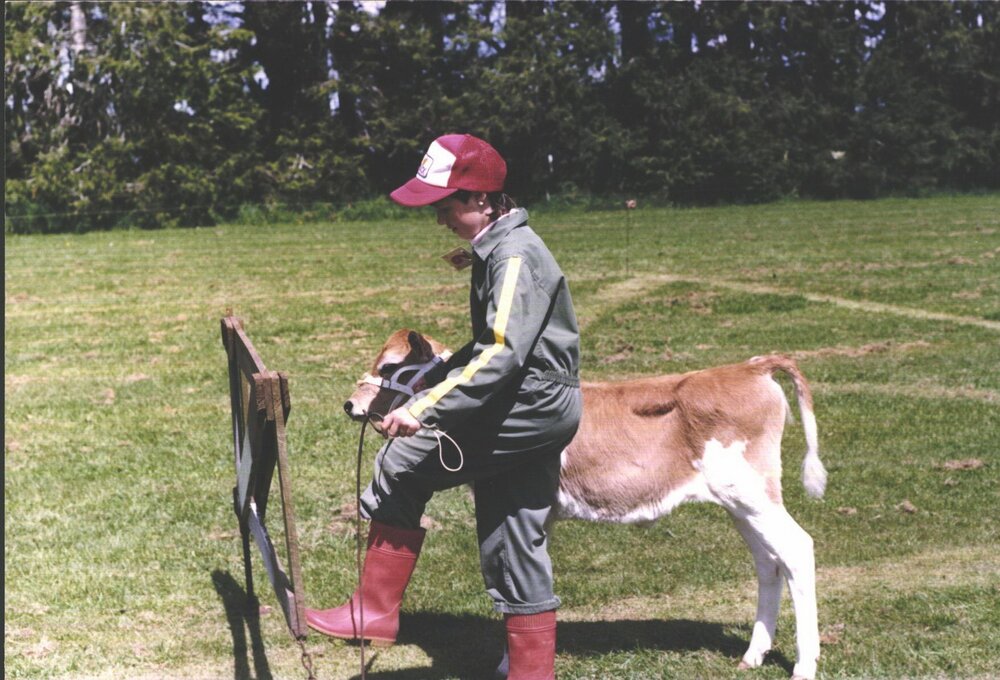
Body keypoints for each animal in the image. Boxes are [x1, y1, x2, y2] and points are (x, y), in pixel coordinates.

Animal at [344, 329, 827, 680]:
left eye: (390, 365)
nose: (350, 403)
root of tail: (749, 367)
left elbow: (512, 583)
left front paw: (508, 665)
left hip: (750, 491)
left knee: (797, 549)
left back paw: (804, 665)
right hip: (741, 501)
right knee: (768, 562)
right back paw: (753, 654)